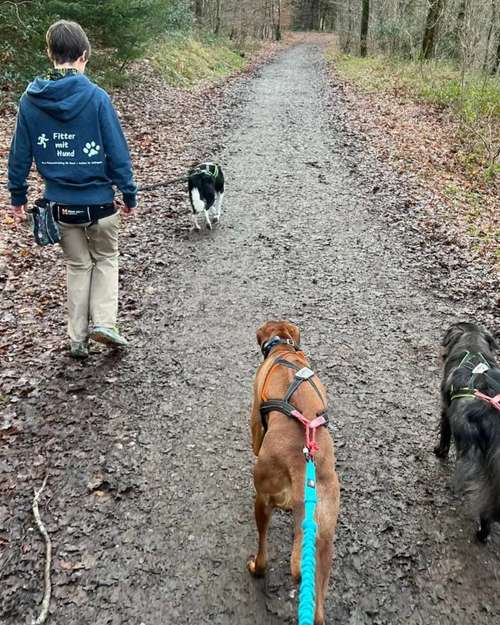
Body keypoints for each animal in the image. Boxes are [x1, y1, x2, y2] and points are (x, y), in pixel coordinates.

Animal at [248, 322, 342, 624]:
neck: (283, 348)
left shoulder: (255, 420)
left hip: (263, 499)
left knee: (263, 554)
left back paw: (255, 568)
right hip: (324, 541)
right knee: (319, 608)